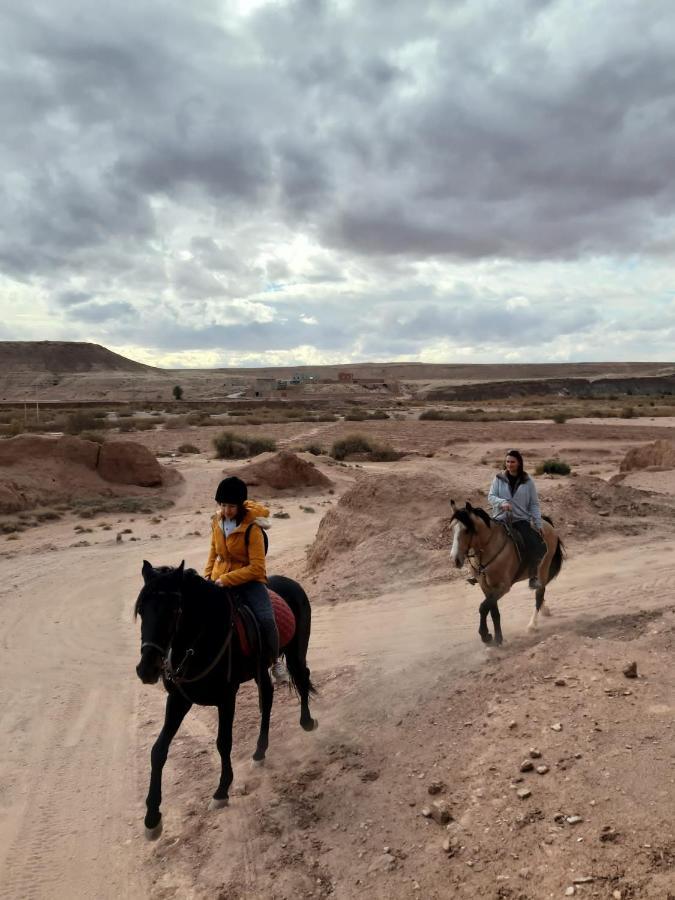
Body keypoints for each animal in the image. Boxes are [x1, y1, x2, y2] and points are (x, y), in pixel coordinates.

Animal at [137, 560, 320, 840]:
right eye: (141, 610)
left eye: (174, 610)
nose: (146, 669)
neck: (200, 640)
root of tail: (293, 583)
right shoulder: (179, 699)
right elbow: (158, 750)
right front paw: (152, 818)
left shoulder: (226, 698)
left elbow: (223, 743)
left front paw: (221, 791)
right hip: (260, 669)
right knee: (268, 697)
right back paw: (259, 752)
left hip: (295, 650)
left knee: (301, 676)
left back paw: (307, 721)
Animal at [452, 500, 568, 648]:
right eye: (452, 529)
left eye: (467, 530)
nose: (455, 559)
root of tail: (544, 522)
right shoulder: (486, 587)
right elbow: (493, 610)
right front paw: (497, 638)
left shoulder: (503, 587)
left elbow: (483, 607)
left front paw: (486, 636)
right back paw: (544, 610)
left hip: (543, 568)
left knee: (539, 594)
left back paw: (532, 625)